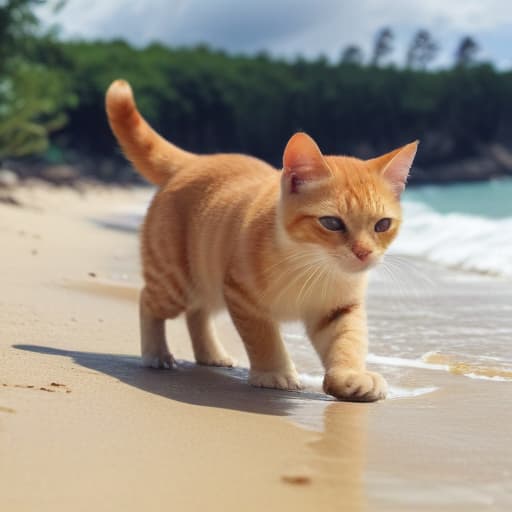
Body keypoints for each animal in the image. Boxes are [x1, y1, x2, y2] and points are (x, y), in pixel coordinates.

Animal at [106, 79, 418, 400]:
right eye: (331, 223)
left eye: (382, 224)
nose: (364, 252)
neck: (309, 264)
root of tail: (196, 160)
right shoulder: (243, 297)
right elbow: (264, 338)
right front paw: (274, 372)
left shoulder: (340, 308)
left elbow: (348, 341)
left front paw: (351, 376)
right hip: (175, 282)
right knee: (148, 301)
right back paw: (156, 353)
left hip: (207, 280)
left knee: (198, 313)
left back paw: (211, 354)